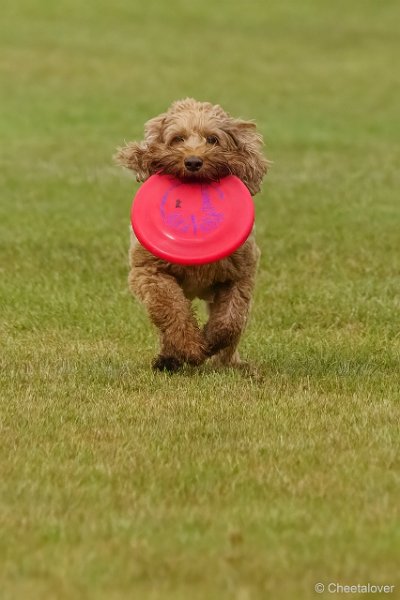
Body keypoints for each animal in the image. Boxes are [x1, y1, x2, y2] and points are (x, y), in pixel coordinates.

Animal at [115, 98, 268, 370]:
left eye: (213, 139)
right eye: (178, 139)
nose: (193, 162)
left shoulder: (240, 274)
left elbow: (231, 319)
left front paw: (212, 341)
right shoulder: (149, 273)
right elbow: (172, 310)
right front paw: (190, 347)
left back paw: (232, 364)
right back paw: (169, 359)